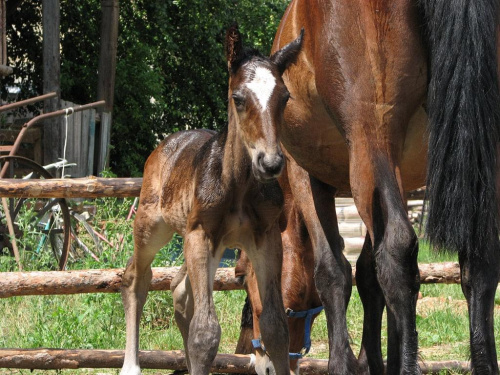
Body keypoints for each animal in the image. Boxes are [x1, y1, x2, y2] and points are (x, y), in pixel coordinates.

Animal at [119, 25, 302, 375]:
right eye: (238, 98)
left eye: (285, 97)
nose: (271, 163)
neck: (239, 187)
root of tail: (166, 144)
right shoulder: (201, 235)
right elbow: (205, 332)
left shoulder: (265, 238)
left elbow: (275, 326)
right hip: (152, 227)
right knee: (136, 278)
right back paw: (131, 366)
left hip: (210, 244)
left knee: (180, 291)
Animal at [270, 0, 500, 375]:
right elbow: (368, 274)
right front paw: (375, 359)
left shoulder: (304, 174)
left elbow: (333, 271)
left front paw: (346, 364)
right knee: (479, 259)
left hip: (371, 136)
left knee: (397, 251)